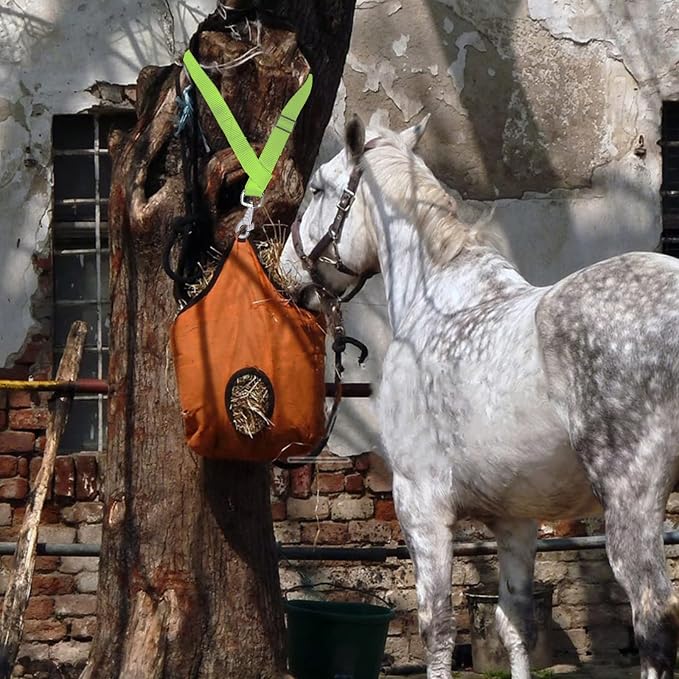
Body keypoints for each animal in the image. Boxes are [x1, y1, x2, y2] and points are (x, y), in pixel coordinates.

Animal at [278, 115, 679, 679]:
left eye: (317, 188)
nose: (289, 274)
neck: (437, 300)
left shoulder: (420, 505)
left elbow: (438, 630)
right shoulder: (516, 520)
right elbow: (516, 628)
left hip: (631, 503)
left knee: (654, 625)